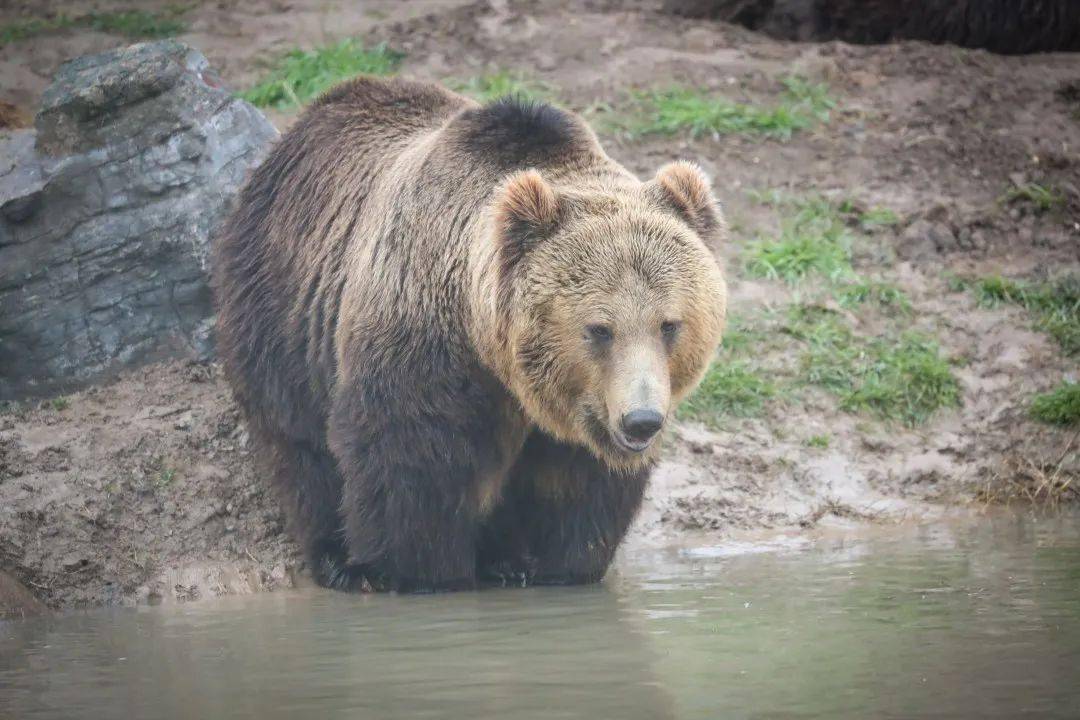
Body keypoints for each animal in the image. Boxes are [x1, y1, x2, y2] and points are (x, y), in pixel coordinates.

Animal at [211, 76, 725, 595]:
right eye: (599, 329)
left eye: (669, 324)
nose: (641, 421)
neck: (491, 349)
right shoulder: (422, 341)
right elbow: (414, 461)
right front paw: (419, 571)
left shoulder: (578, 415)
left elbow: (574, 488)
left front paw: (548, 564)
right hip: (284, 310)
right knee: (300, 444)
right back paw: (336, 557)